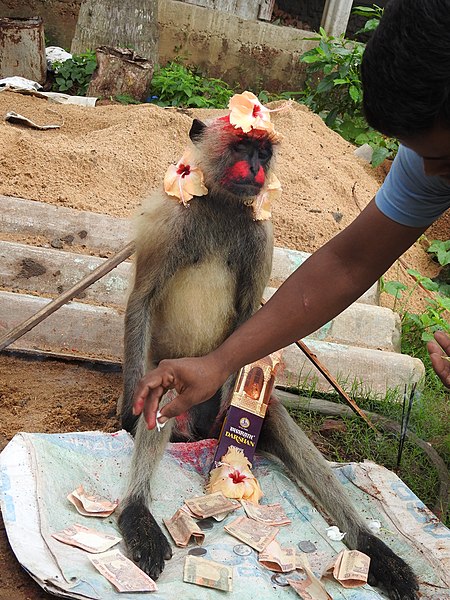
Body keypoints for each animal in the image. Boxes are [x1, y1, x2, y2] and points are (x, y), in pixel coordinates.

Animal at [118, 113, 418, 600]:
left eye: (263, 151)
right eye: (241, 147)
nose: (256, 169)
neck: (221, 206)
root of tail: (197, 429)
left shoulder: (261, 234)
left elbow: (246, 319)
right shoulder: (172, 220)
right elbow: (141, 303)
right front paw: (129, 409)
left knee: (270, 414)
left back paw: (373, 547)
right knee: (164, 386)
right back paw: (137, 513)